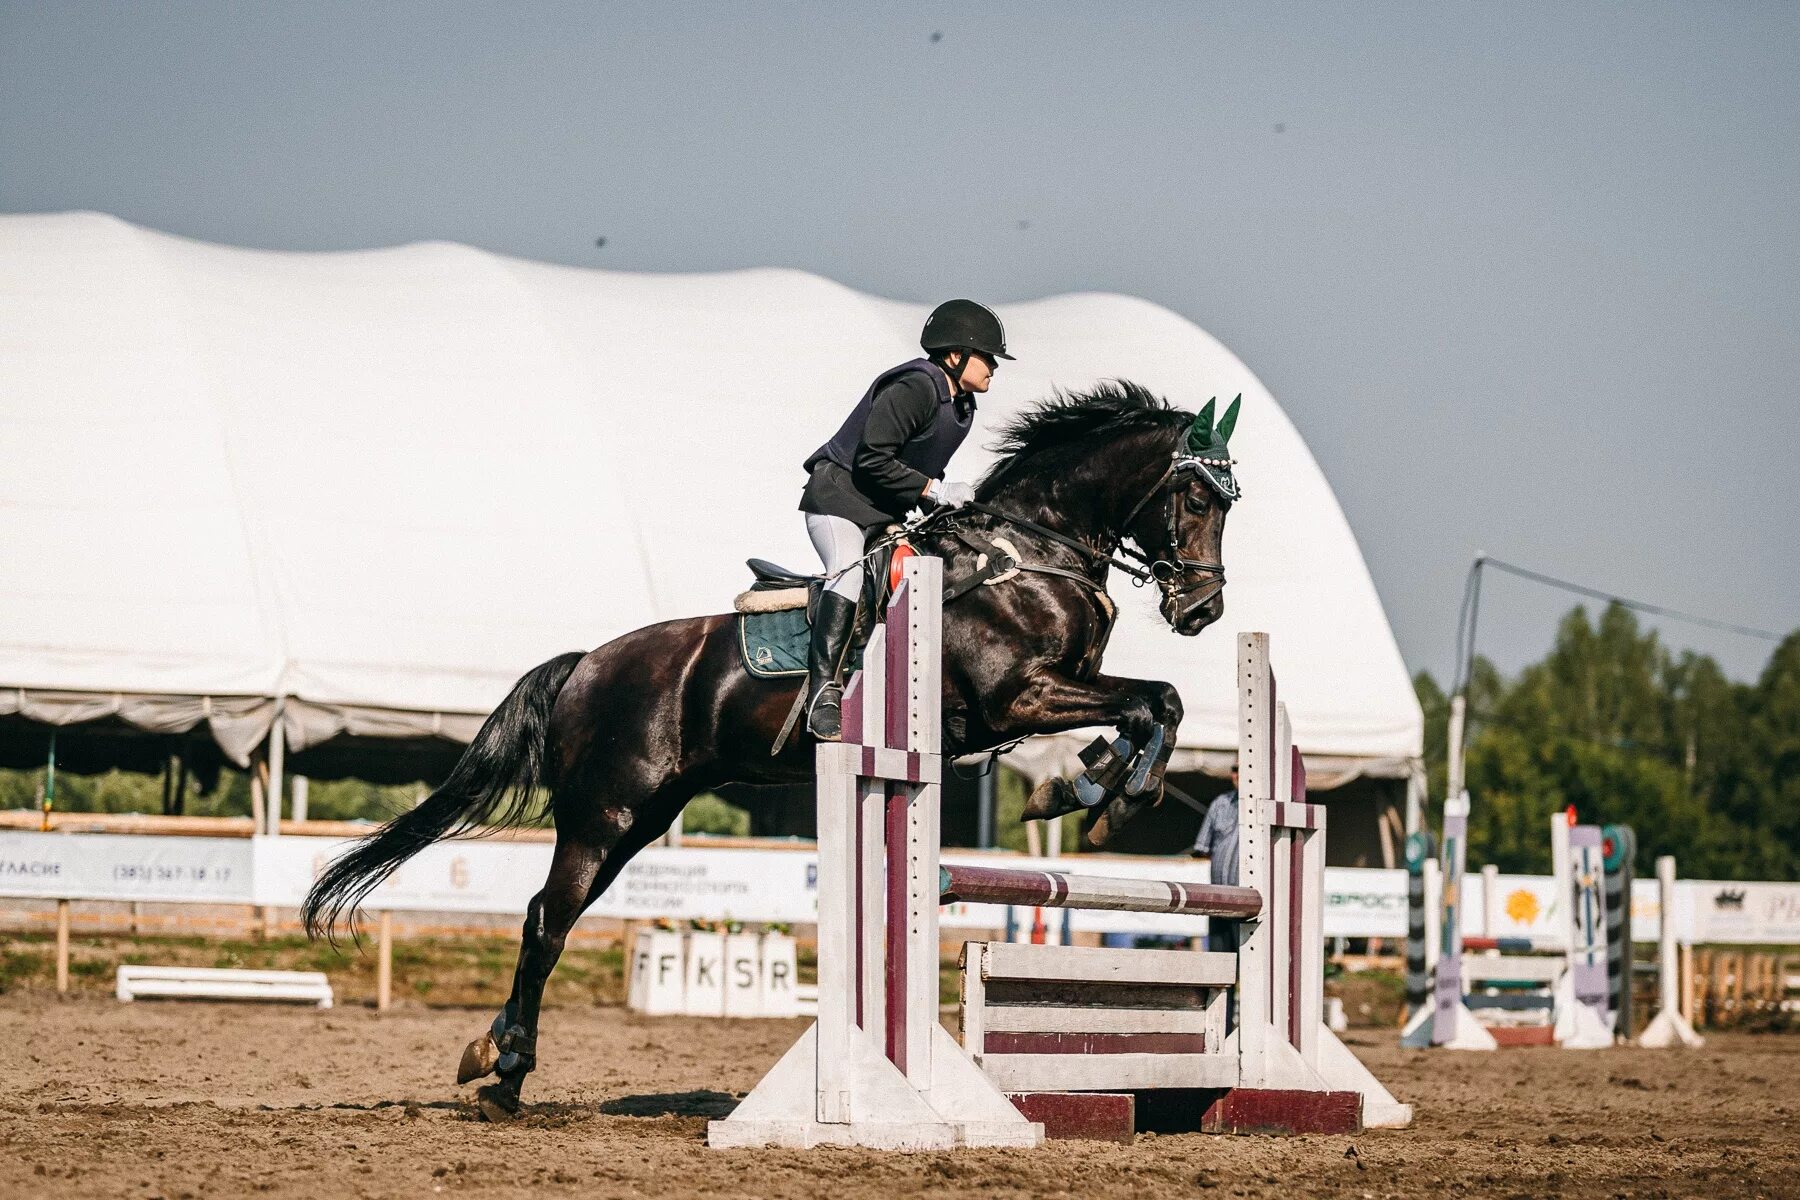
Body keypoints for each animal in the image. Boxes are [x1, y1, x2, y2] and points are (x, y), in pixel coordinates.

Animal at [306, 379, 1238, 1122]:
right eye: (1197, 500)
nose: (1201, 612)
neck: (1033, 550)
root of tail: (587, 664)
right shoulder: (1020, 696)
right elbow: (1152, 701)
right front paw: (1112, 797)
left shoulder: (1056, 690)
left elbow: (1154, 704)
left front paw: (1093, 791)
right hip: (605, 814)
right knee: (545, 922)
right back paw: (506, 1075)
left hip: (641, 819)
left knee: (550, 918)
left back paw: (492, 1055)